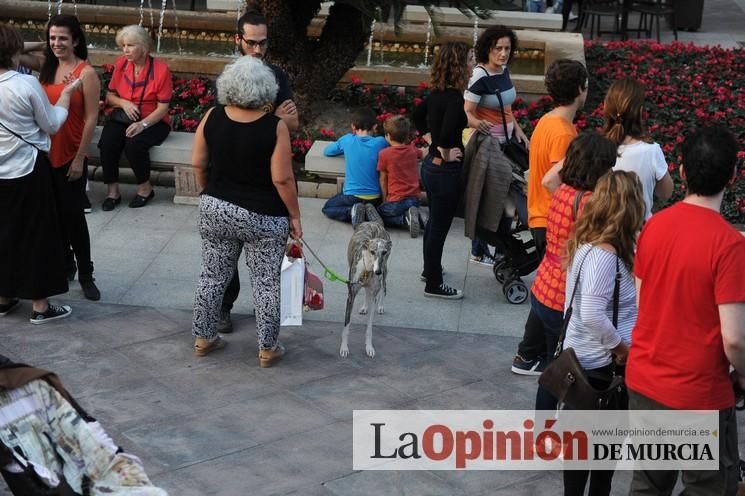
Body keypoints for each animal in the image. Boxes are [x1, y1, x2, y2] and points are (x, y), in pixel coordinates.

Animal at [340, 217, 392, 356]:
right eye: (372, 251)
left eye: (384, 252)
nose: (377, 272)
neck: (368, 268)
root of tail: (373, 222)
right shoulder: (351, 295)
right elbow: (346, 325)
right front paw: (344, 348)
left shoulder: (374, 293)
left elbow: (369, 328)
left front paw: (369, 348)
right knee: (366, 291)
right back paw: (364, 307)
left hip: (385, 270)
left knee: (383, 288)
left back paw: (380, 306)